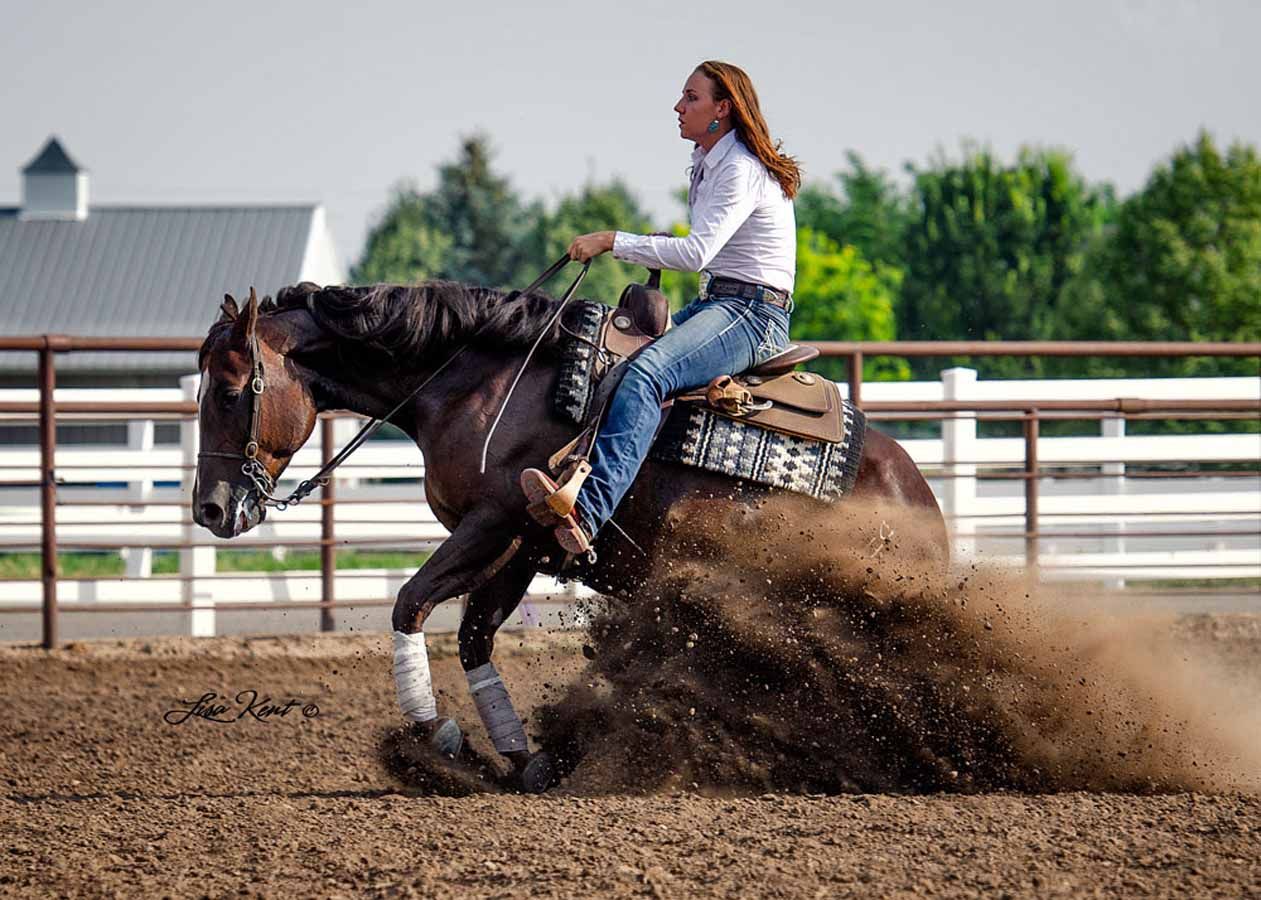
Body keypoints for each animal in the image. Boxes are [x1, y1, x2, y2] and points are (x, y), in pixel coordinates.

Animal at [192, 279, 948, 791]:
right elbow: (474, 639)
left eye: (228, 391)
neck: (478, 382)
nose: (209, 509)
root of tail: (921, 505)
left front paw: (436, 736)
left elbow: (408, 603)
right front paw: (524, 758)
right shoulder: (516, 549)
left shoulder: (493, 524)